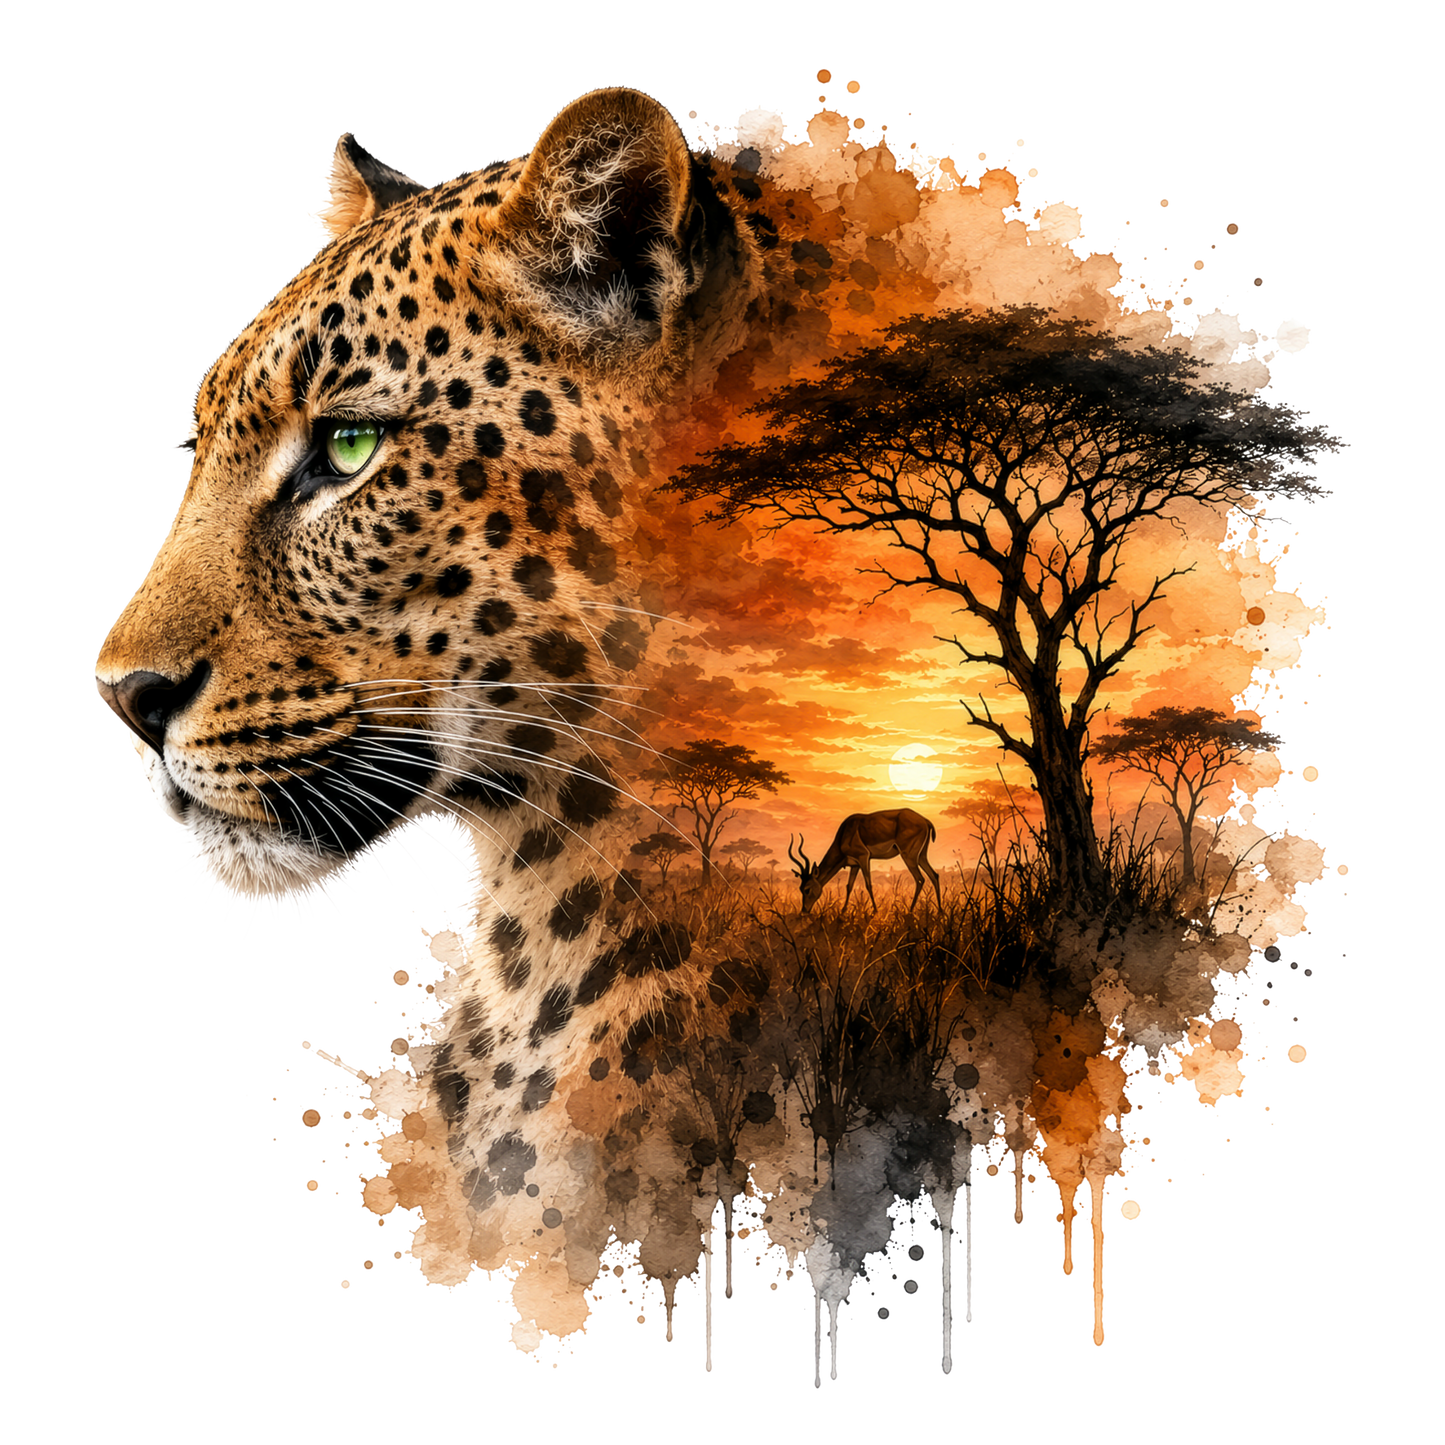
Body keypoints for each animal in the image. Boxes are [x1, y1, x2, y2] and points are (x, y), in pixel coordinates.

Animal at [789, 809, 942, 914]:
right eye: (800, 888)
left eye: (807, 889)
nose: (804, 911)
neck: (845, 834)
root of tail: (925, 820)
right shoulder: (854, 864)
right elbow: (849, 886)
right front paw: (843, 911)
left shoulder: (863, 857)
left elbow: (868, 884)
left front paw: (875, 911)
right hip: (921, 856)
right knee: (934, 875)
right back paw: (940, 911)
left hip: (909, 856)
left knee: (920, 879)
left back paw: (910, 911)